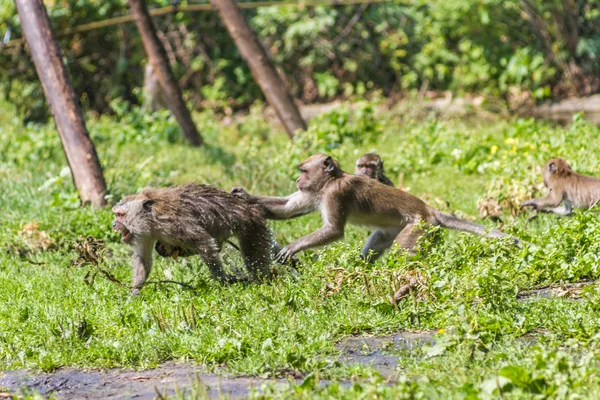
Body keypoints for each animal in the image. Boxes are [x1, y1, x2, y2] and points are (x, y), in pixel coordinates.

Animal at [111, 183, 274, 296]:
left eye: (120, 215)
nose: (113, 224)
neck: (152, 218)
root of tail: (250, 207)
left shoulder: (175, 223)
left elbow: (205, 244)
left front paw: (222, 279)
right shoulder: (145, 234)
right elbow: (143, 259)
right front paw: (134, 294)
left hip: (252, 225)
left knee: (253, 261)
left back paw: (262, 280)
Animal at [232, 153, 524, 262]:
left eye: (303, 171)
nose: (297, 180)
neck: (330, 181)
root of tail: (430, 210)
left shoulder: (335, 194)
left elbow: (334, 230)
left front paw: (293, 247)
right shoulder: (314, 192)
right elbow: (289, 208)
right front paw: (244, 195)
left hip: (419, 226)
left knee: (404, 252)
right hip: (395, 229)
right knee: (377, 242)